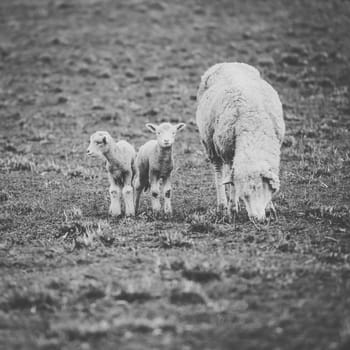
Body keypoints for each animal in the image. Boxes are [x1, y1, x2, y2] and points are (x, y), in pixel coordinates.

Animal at [196, 61, 286, 223]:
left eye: (258, 187)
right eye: (245, 195)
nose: (256, 219)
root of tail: (226, 63)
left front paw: (270, 209)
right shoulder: (228, 153)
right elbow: (232, 185)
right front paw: (232, 209)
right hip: (210, 143)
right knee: (219, 172)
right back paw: (222, 205)